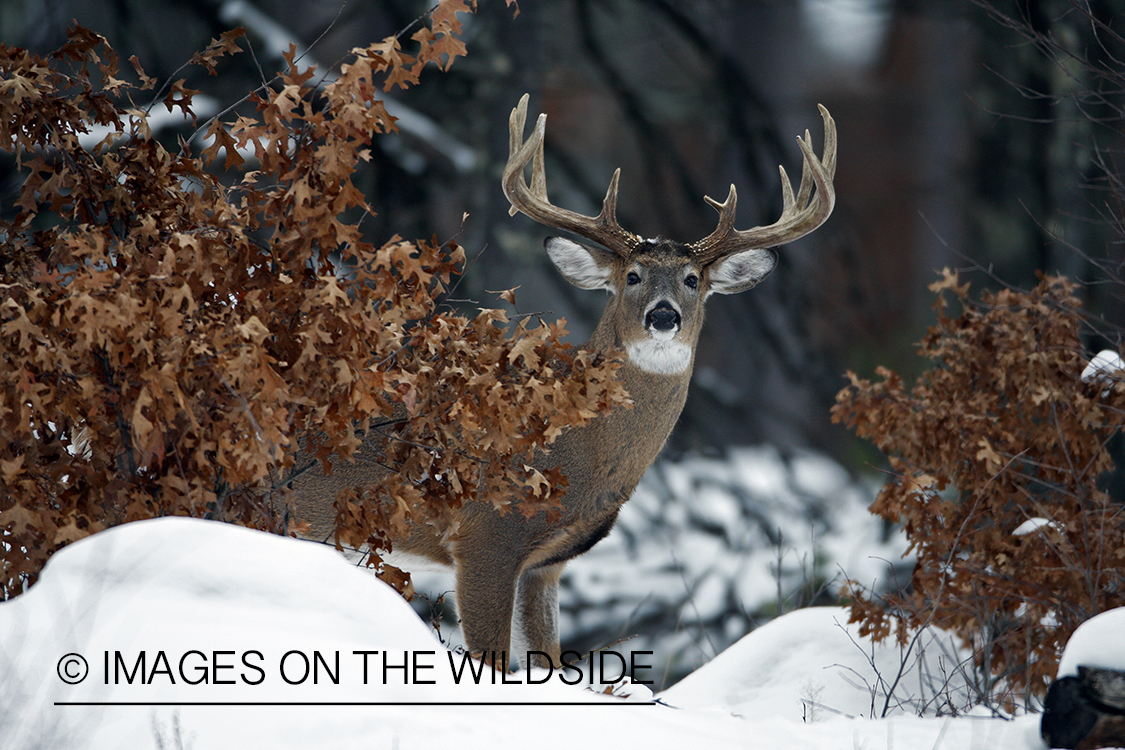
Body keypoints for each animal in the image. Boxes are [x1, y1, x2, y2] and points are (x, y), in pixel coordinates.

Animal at [290, 92, 837, 670]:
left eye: (693, 281)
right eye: (632, 277)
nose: (663, 316)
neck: (576, 448)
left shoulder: (547, 564)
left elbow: (548, 659)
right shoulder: (487, 534)